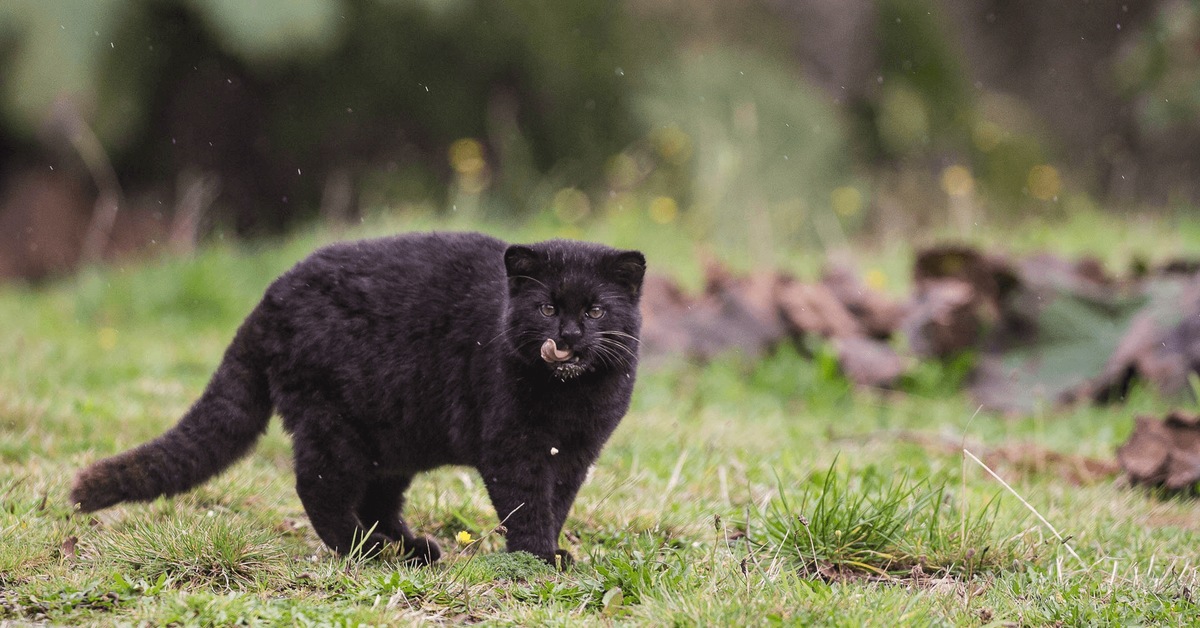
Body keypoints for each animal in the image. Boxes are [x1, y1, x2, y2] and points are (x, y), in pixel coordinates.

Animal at [69, 230, 643, 564]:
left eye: (594, 310)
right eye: (546, 308)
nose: (568, 336)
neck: (570, 397)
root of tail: (270, 297)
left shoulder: (575, 452)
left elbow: (558, 501)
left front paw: (552, 550)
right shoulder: (512, 446)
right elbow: (526, 504)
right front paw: (537, 558)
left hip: (393, 433)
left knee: (376, 499)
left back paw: (410, 550)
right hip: (333, 424)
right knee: (318, 488)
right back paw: (362, 551)